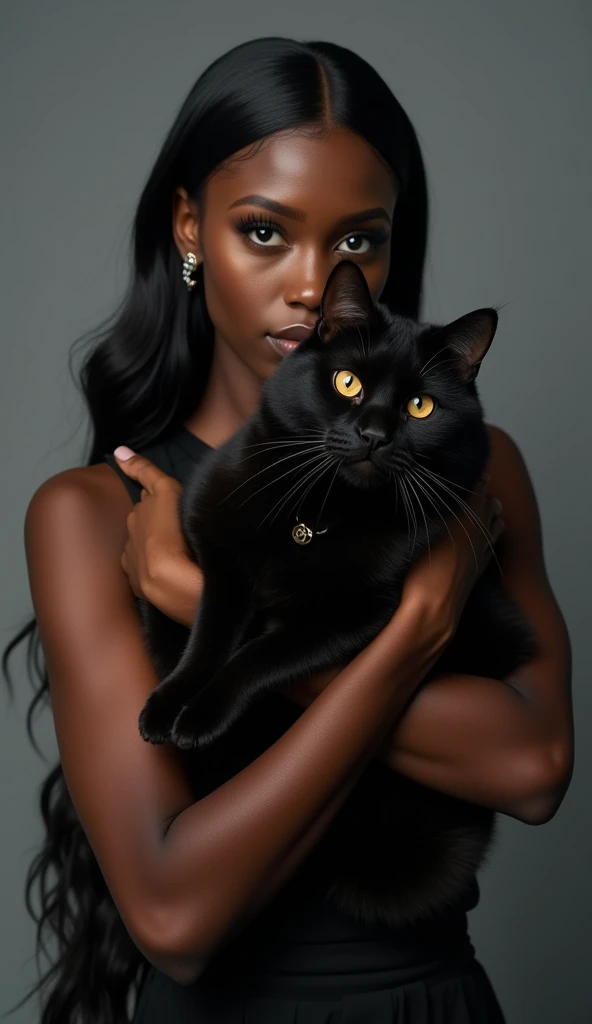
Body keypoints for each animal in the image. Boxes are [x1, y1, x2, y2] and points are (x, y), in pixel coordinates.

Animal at [137, 258, 532, 929]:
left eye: (421, 406)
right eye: (348, 382)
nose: (373, 433)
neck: (322, 511)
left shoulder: (361, 616)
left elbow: (259, 654)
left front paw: (202, 716)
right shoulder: (216, 546)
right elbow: (211, 633)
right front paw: (170, 706)